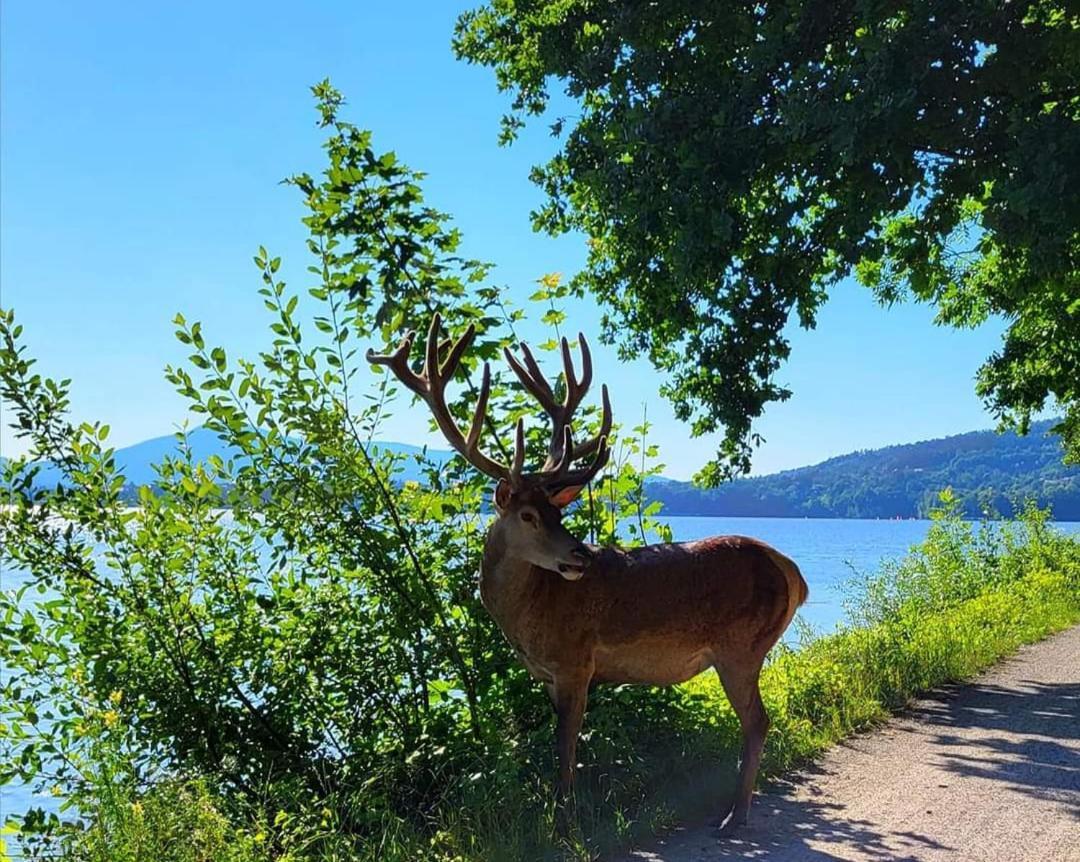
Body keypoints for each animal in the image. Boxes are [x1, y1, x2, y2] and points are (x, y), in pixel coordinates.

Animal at [367, 313, 807, 833]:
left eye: (556, 513)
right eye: (530, 516)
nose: (581, 557)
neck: (526, 620)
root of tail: (794, 575)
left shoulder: (576, 661)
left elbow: (565, 744)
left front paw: (564, 818)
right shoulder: (548, 675)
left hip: (741, 647)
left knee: (757, 721)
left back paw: (735, 814)